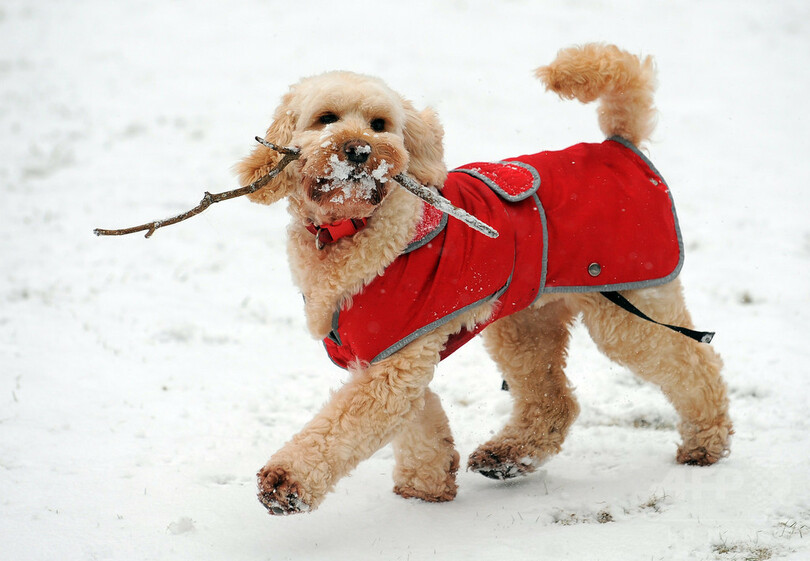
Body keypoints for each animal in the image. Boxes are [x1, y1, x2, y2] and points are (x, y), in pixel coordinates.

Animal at [235, 44, 732, 516]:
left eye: (380, 124)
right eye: (326, 119)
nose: (359, 150)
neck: (351, 229)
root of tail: (619, 145)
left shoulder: (392, 361)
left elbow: (340, 426)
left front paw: (286, 482)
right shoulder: (387, 355)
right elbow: (420, 420)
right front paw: (426, 485)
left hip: (630, 306)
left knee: (697, 364)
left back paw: (706, 441)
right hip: (526, 321)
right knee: (553, 400)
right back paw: (508, 455)